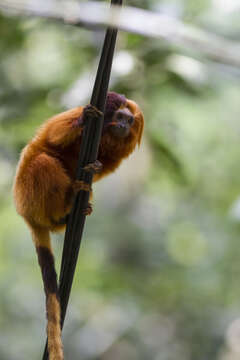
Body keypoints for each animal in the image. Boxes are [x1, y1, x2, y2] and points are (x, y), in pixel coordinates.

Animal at [13, 91, 143, 358]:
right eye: (120, 117)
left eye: (130, 120)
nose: (125, 126)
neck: (105, 138)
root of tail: (26, 214)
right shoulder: (71, 117)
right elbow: (54, 135)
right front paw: (85, 118)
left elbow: (100, 168)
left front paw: (97, 167)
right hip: (29, 191)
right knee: (43, 160)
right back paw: (67, 203)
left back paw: (74, 208)